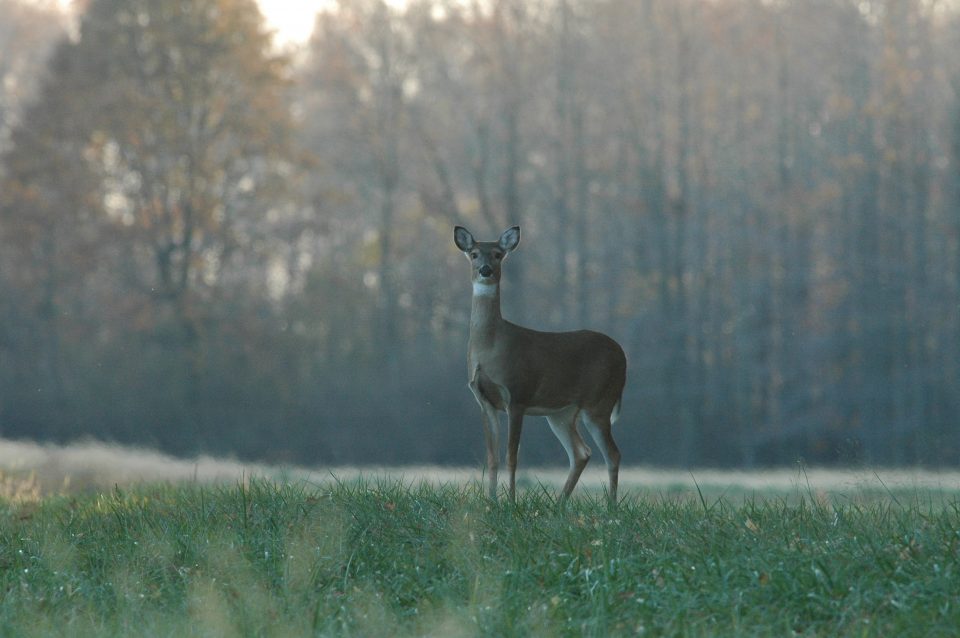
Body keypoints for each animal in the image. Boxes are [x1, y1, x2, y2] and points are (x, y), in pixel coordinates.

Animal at [458, 228, 632, 508]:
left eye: (498, 254)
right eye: (473, 254)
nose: (485, 270)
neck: (491, 346)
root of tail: (621, 353)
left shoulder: (518, 394)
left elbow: (512, 456)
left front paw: (511, 502)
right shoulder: (484, 400)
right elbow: (492, 456)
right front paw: (491, 502)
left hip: (599, 402)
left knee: (612, 453)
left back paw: (610, 506)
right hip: (561, 413)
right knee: (582, 453)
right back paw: (560, 503)